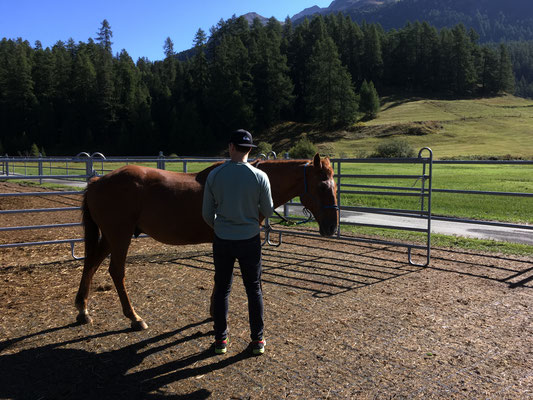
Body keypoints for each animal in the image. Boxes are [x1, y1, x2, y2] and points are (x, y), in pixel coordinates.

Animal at [75, 152, 336, 328]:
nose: (332, 227)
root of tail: (97, 182)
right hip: (120, 235)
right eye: (323, 187)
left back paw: (83, 311)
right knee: (115, 271)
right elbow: (222, 277)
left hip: (110, 236)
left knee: (91, 264)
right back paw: (135, 318)